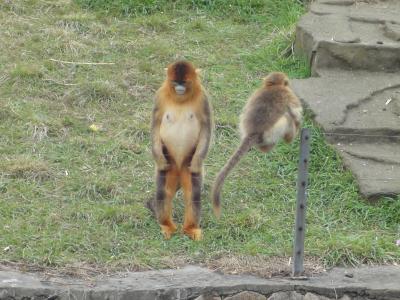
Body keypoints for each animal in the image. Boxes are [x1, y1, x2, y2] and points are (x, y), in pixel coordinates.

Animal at [148, 59, 212, 240]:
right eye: (175, 82)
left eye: (184, 82)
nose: (179, 88)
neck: (180, 99)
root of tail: (177, 167)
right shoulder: (159, 95)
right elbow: (155, 124)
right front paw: (159, 159)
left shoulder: (203, 97)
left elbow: (206, 126)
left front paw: (198, 162)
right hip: (169, 161)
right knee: (164, 192)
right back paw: (166, 225)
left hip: (186, 165)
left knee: (193, 193)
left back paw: (190, 228)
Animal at [212, 71, 300, 217]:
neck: (274, 87)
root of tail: (252, 132)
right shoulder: (290, 96)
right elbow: (296, 113)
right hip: (273, 131)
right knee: (287, 118)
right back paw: (281, 142)